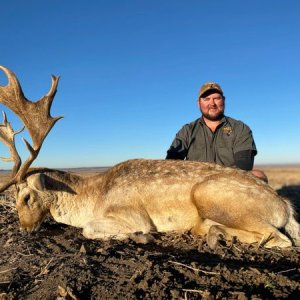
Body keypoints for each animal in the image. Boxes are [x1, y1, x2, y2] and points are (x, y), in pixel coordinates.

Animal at [0, 66, 298, 251]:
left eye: (26, 196)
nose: (25, 229)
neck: (92, 195)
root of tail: (284, 206)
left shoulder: (132, 215)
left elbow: (88, 229)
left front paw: (140, 236)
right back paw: (213, 232)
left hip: (209, 195)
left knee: (281, 238)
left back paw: (217, 234)